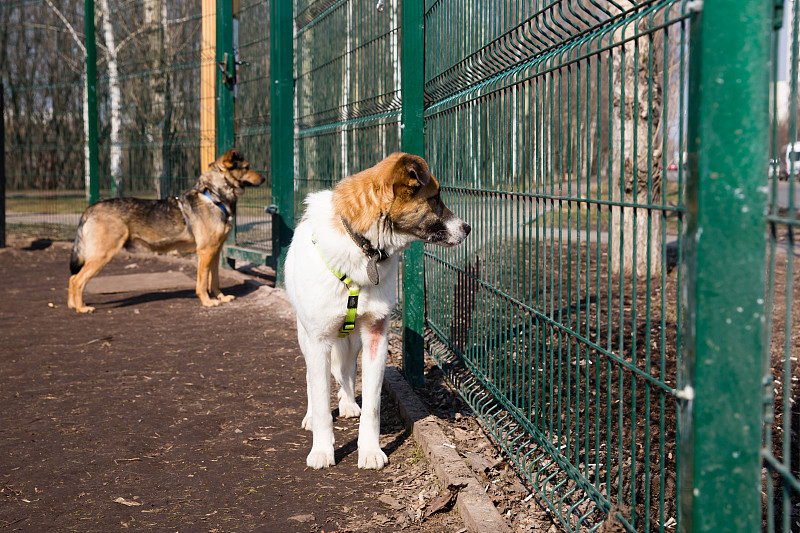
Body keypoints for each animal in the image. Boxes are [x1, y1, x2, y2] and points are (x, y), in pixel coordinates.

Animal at [67, 148, 264, 312]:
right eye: (247, 167)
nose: (264, 179)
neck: (214, 197)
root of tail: (91, 207)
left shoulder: (215, 252)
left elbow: (214, 281)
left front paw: (221, 298)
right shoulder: (205, 252)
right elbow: (202, 283)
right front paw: (207, 302)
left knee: (72, 278)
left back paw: (72, 305)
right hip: (102, 255)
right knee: (77, 280)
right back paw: (82, 308)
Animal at [286, 152, 472, 468]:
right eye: (435, 198)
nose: (468, 228)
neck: (363, 248)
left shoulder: (375, 337)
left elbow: (372, 404)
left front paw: (370, 450)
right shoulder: (319, 340)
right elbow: (321, 397)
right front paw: (322, 450)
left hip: (353, 341)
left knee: (347, 369)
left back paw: (349, 403)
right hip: (306, 336)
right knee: (313, 378)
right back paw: (312, 416)